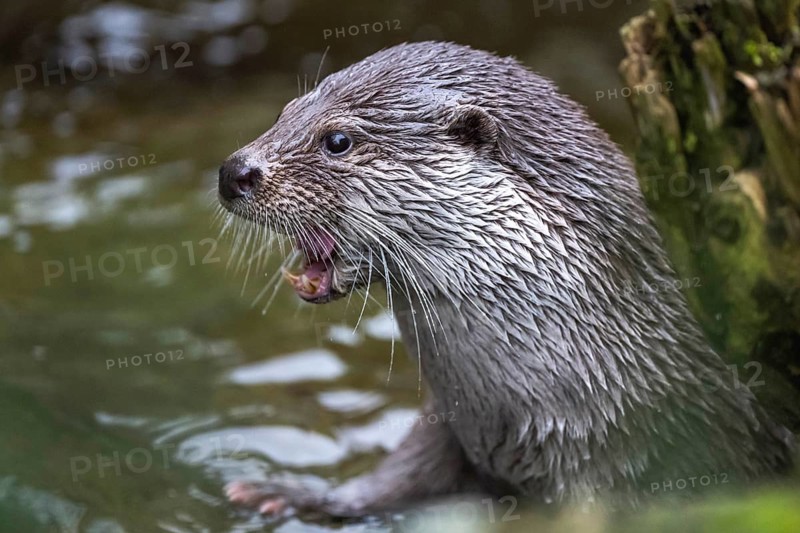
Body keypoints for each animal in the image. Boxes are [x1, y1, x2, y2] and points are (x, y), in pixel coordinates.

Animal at [216, 41, 794, 517]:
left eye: (337, 140)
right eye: (286, 111)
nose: (233, 172)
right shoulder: (448, 429)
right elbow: (396, 476)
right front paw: (292, 494)